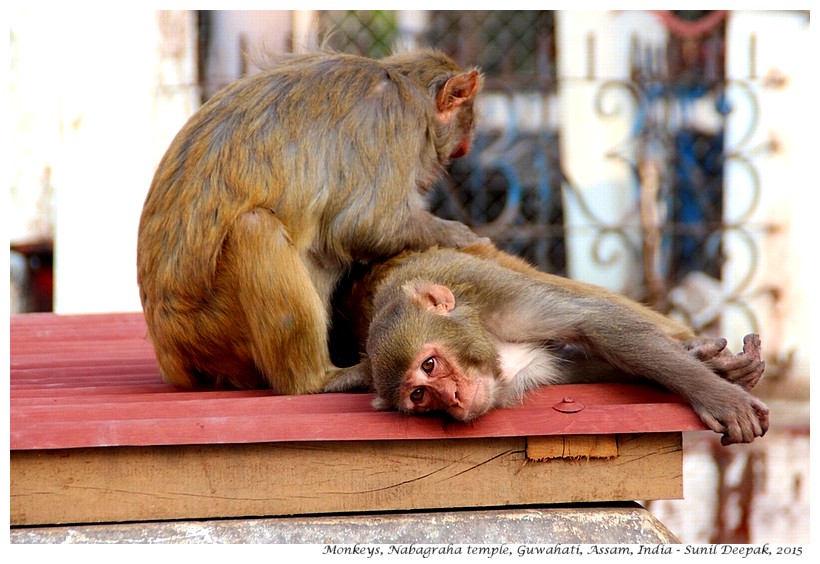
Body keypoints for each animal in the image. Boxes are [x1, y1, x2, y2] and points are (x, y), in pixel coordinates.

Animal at [137, 49, 484, 392]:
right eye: (459, 147)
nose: (431, 177)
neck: (401, 80)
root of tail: (172, 356)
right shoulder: (394, 119)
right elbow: (364, 226)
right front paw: (462, 236)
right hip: (215, 331)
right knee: (256, 227)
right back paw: (315, 380)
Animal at [326, 242, 768, 446]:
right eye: (419, 395)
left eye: (429, 365)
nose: (452, 397)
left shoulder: (500, 300)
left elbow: (594, 322)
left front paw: (717, 394)